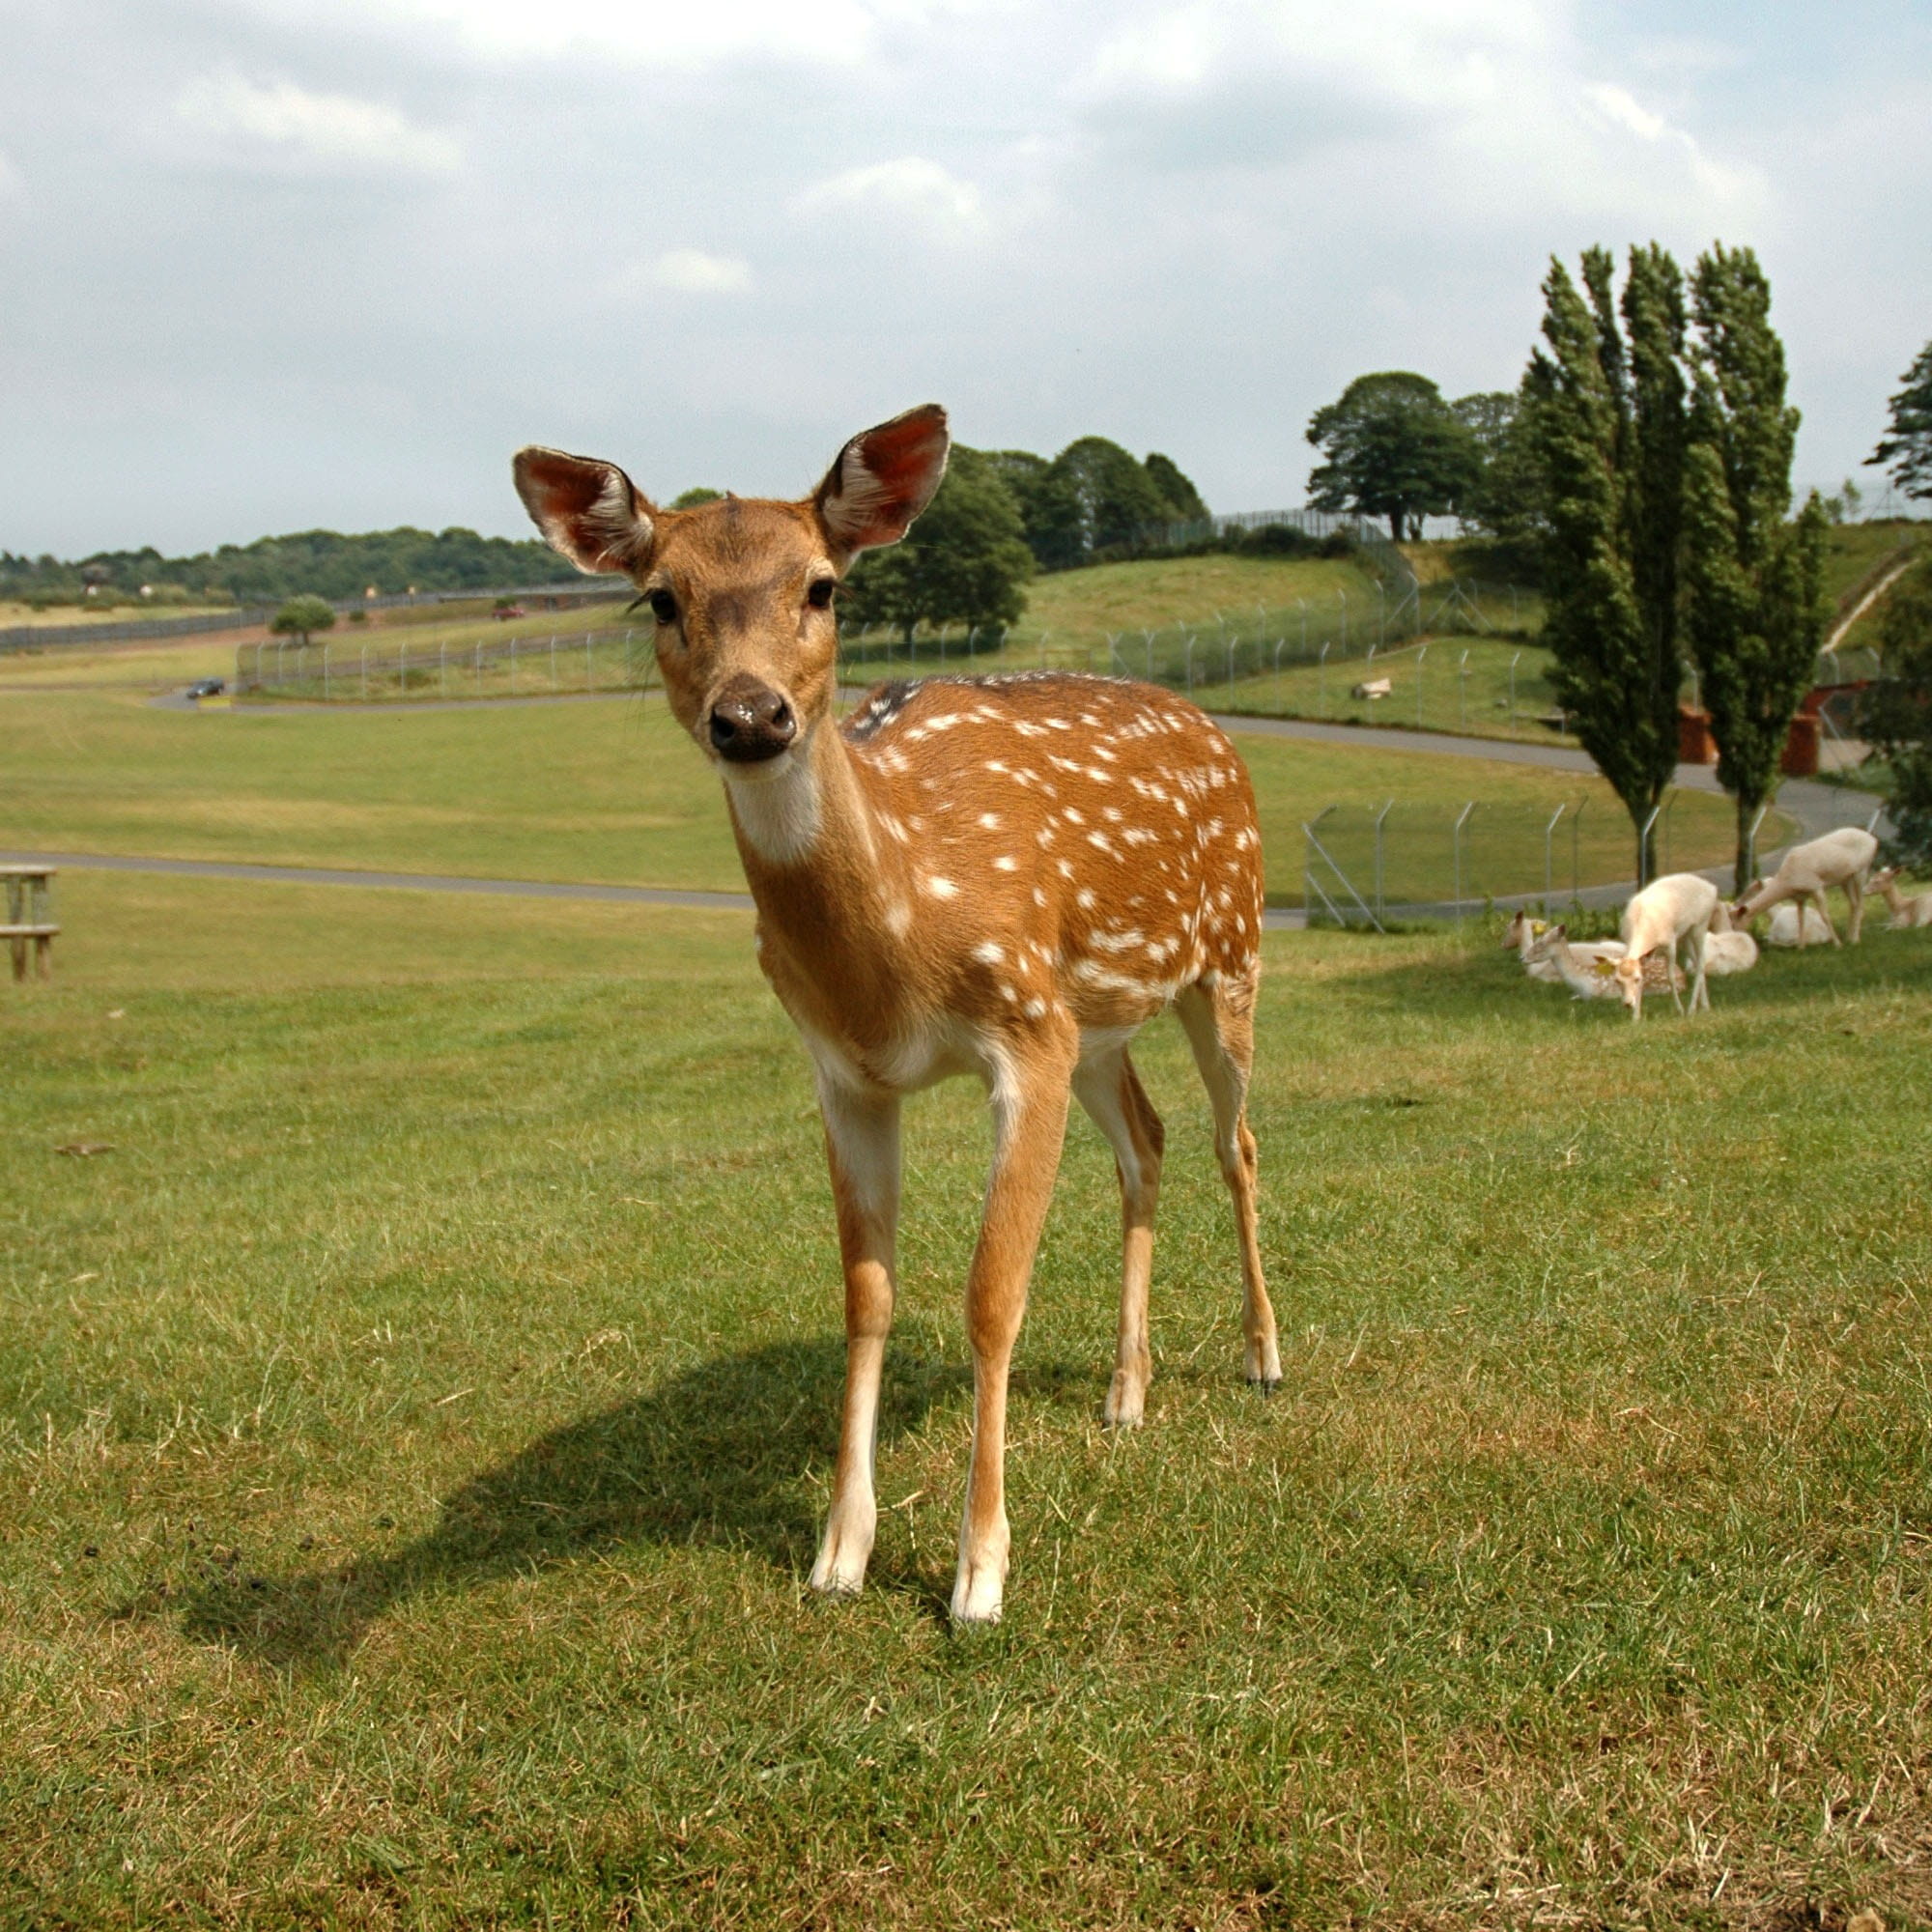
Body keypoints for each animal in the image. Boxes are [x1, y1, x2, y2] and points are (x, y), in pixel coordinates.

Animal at [512, 405, 1280, 1627]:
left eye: (823, 585)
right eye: (660, 598)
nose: (750, 714)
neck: (900, 943)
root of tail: (1213, 723)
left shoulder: (1023, 1030)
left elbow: (991, 1295)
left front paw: (979, 1569)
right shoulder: (847, 1072)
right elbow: (865, 1294)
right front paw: (839, 1548)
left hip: (1229, 953)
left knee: (1235, 1140)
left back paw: (1261, 1356)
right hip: (1097, 1021)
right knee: (1147, 1141)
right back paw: (1125, 1387)